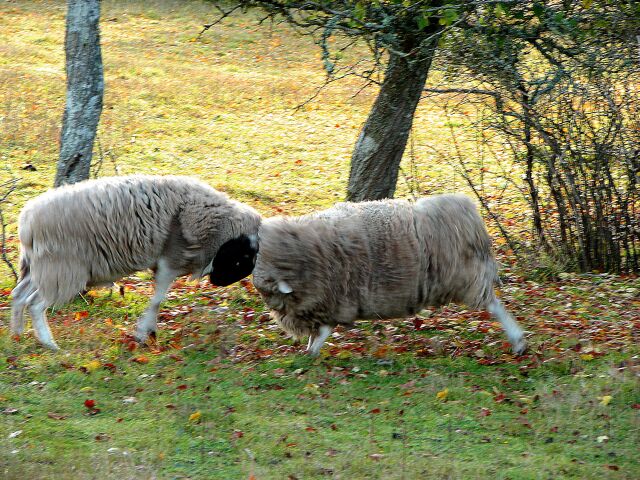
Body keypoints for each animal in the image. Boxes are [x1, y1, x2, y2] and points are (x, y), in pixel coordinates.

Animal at [10, 175, 260, 348]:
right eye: (244, 256)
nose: (220, 283)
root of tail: (26, 223)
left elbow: (157, 299)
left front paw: (148, 332)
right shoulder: (169, 262)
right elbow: (157, 300)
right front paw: (143, 333)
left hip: (40, 268)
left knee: (18, 295)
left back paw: (18, 334)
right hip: (62, 270)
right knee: (35, 304)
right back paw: (49, 344)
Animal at [252, 194, 528, 356]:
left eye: (270, 291)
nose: (273, 309)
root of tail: (466, 212)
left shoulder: (336, 297)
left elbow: (323, 331)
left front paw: (311, 352)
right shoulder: (326, 301)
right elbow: (318, 330)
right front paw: (310, 349)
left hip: (466, 276)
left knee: (493, 304)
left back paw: (518, 341)